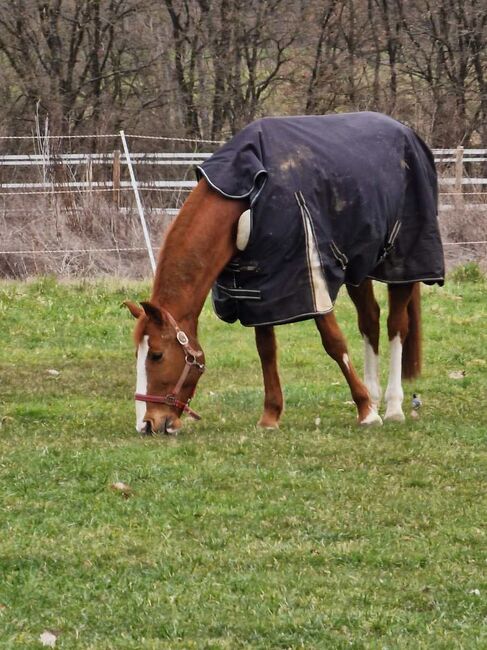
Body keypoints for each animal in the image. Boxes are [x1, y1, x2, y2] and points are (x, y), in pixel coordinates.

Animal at [126, 114, 446, 432]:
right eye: (137, 355)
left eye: (156, 355)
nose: (147, 424)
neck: (246, 201)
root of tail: (406, 132)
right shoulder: (259, 290)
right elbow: (266, 349)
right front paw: (270, 416)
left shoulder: (311, 279)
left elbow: (334, 342)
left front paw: (366, 411)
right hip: (359, 267)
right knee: (370, 321)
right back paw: (376, 394)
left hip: (402, 264)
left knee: (396, 326)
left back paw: (392, 407)